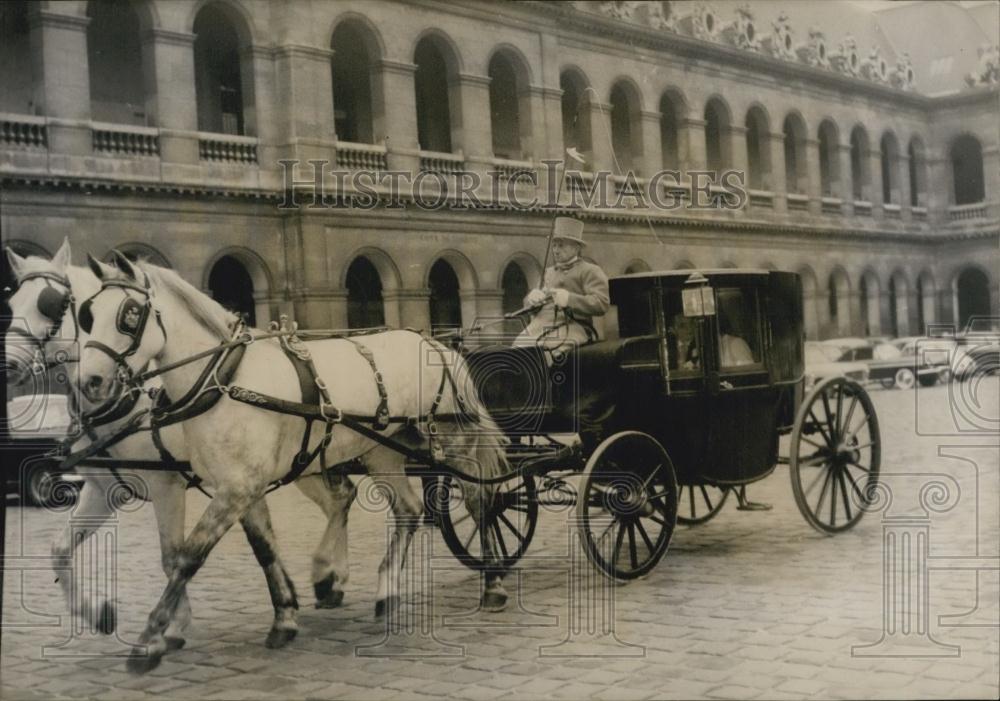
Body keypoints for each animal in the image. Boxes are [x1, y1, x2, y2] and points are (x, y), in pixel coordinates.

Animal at [1, 245, 356, 652]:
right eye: (11, 302)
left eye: (52, 304)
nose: (8, 363)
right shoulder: (104, 489)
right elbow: (59, 551)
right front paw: (99, 613)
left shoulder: (166, 483)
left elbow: (171, 557)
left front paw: (172, 624)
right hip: (304, 460)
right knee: (339, 499)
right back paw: (331, 579)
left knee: (339, 499)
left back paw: (329, 574)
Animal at [79, 253, 512, 672]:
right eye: (88, 314)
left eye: (129, 314)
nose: (90, 382)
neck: (226, 381)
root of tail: (439, 345)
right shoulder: (242, 487)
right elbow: (265, 549)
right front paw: (285, 617)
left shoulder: (234, 489)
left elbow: (189, 556)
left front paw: (150, 638)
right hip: (382, 450)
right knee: (408, 510)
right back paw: (386, 591)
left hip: (454, 444)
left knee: (480, 503)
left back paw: (493, 583)